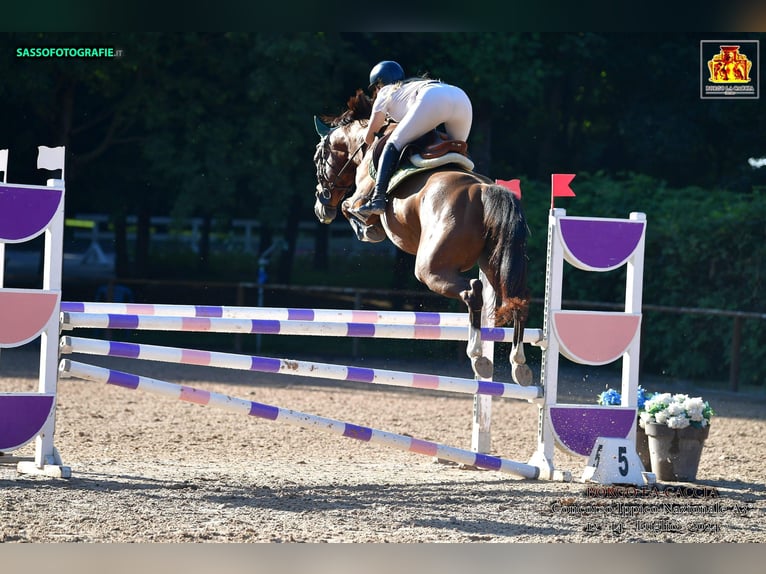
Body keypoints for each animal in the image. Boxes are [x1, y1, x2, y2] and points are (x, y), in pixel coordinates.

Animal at [312, 90, 536, 388]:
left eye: (318, 159)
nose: (321, 208)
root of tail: (484, 191)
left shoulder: (359, 196)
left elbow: (352, 209)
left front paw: (368, 230)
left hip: (430, 268)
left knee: (472, 291)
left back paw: (478, 356)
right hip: (493, 262)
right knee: (517, 298)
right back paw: (518, 364)